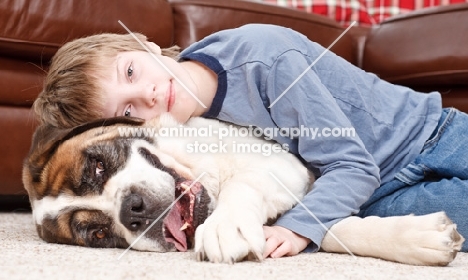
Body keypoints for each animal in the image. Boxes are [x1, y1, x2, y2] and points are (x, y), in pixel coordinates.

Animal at [22, 115, 464, 266]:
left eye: (97, 166)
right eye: (98, 233)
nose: (134, 210)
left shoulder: (283, 163)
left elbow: (248, 182)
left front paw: (226, 226)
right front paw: (419, 238)